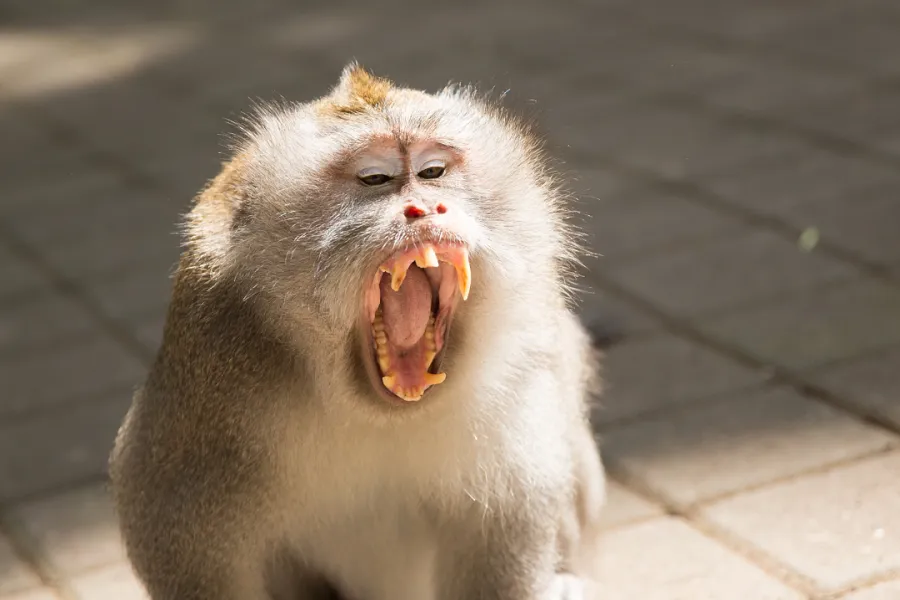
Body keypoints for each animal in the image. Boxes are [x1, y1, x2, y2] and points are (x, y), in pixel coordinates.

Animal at [109, 62, 608, 600]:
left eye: (434, 172)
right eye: (375, 179)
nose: (424, 210)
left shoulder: (526, 367)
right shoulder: (214, 379)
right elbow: (176, 531)